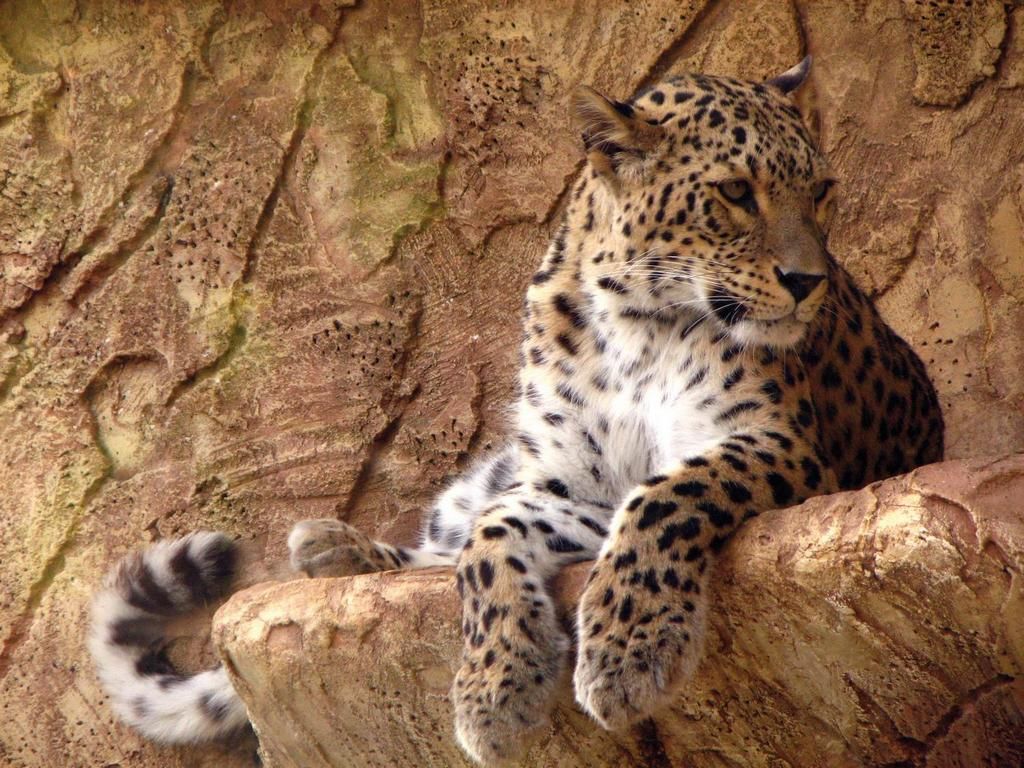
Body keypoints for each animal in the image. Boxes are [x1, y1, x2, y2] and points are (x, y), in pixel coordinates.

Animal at [89, 57, 944, 765]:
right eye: (736, 192)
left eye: (821, 191)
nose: (808, 282)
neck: (640, 322)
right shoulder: (569, 484)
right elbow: (490, 541)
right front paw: (496, 687)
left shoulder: (775, 443)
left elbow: (666, 496)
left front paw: (627, 652)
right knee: (441, 545)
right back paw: (334, 549)